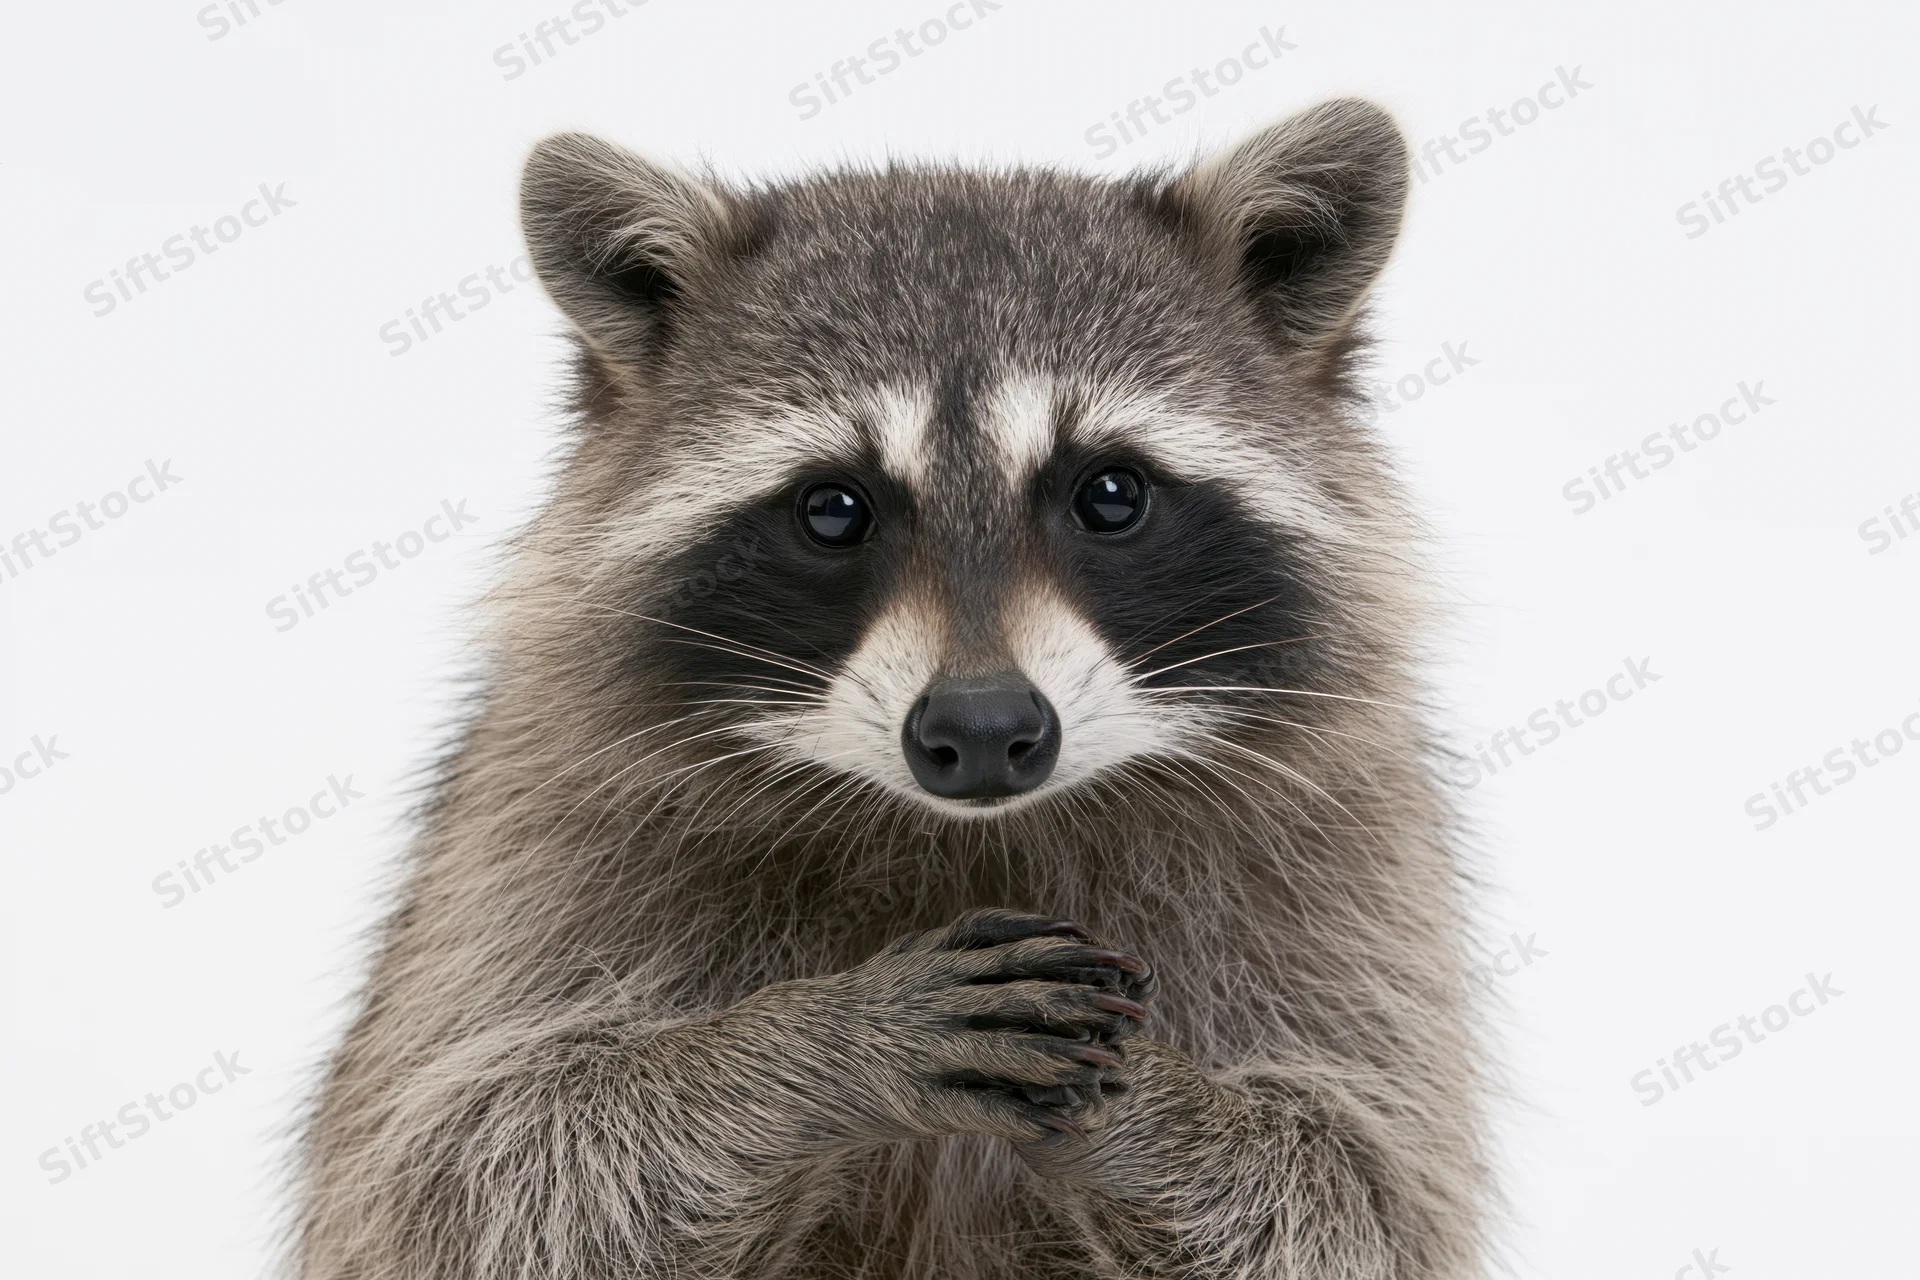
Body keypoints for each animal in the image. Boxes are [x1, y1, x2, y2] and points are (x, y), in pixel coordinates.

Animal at [292, 99, 1488, 1280]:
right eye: (833, 509)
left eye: (1111, 494)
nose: (984, 728)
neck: (972, 834)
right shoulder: (537, 828)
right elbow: (472, 1168)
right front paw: (813, 1040)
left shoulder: (1348, 858)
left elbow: (1357, 1191)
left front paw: (1153, 1106)